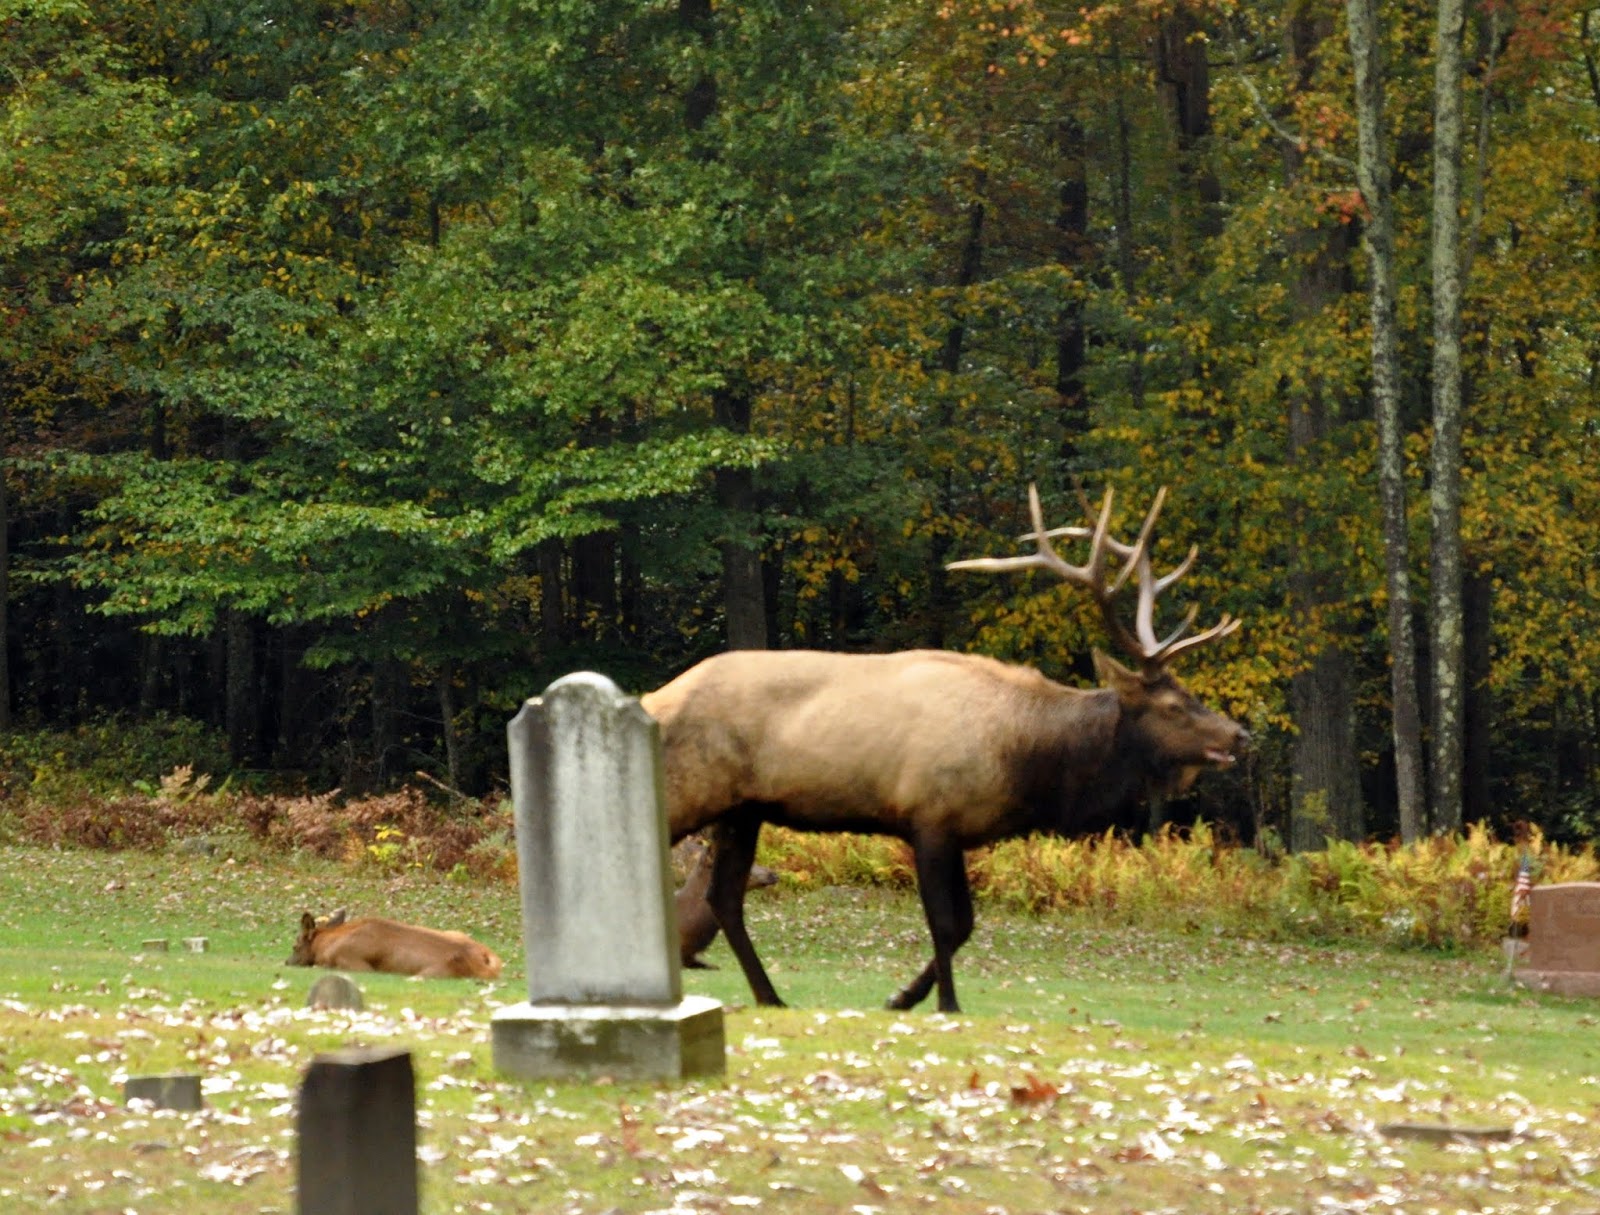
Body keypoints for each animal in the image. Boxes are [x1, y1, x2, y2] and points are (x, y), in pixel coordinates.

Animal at [640, 484, 1248, 1014]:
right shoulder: (929, 817)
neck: (1028, 763)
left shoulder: (958, 831)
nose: (1239, 733)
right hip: (688, 791)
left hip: (742, 810)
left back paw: (771, 996)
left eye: (1191, 694)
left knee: (725, 898)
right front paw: (943, 1005)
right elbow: (947, 924)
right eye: (1172, 705)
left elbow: (967, 926)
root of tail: (652, 697)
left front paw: (904, 997)